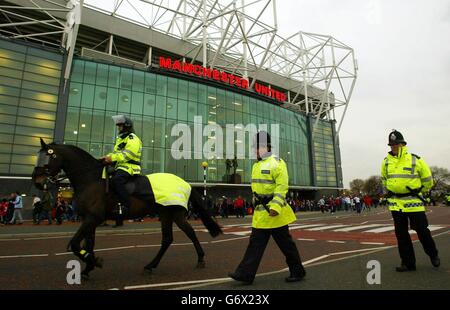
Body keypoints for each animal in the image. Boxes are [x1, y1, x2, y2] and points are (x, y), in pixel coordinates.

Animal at [31, 139, 221, 278]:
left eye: (48, 156)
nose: (37, 181)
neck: (91, 179)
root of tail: (185, 183)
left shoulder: (94, 218)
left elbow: (75, 244)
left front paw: (94, 262)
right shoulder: (89, 219)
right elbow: (88, 243)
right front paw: (87, 268)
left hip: (175, 214)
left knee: (190, 233)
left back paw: (200, 259)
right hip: (166, 214)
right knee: (168, 239)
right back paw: (150, 266)